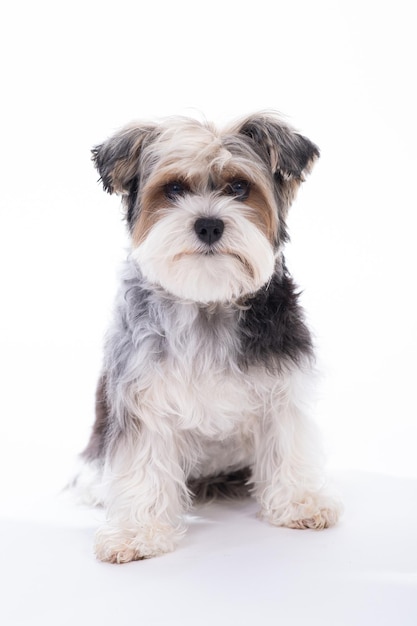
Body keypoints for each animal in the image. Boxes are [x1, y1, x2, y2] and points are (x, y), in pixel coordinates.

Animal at [75, 112, 342, 560]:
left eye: (239, 187)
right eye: (173, 189)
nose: (209, 225)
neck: (208, 300)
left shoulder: (282, 386)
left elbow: (287, 441)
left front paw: (299, 502)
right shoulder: (144, 394)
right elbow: (142, 462)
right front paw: (136, 531)